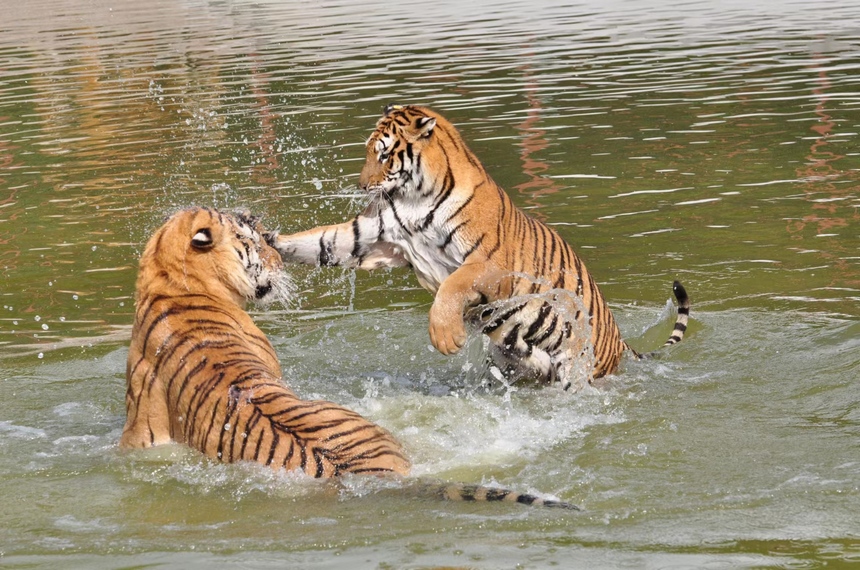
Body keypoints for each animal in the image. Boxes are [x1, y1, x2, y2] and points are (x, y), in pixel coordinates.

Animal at [268, 103, 692, 390]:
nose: (362, 185)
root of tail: (619, 342)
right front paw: (266, 240)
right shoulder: (373, 238)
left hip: (577, 364)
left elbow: (452, 286)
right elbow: (319, 241)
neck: (413, 197)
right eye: (371, 152)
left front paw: (446, 336)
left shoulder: (490, 264)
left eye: (385, 155)